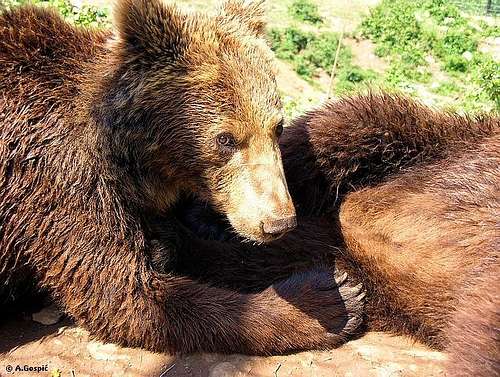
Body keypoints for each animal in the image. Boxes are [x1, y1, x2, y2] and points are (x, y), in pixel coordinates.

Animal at [0, 0, 364, 354]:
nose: (278, 221)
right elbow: (125, 294)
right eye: (225, 138)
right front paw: (329, 298)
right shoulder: (60, 178)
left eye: (277, 126)